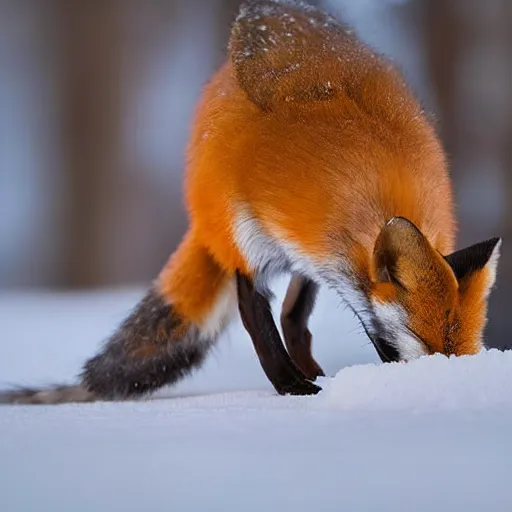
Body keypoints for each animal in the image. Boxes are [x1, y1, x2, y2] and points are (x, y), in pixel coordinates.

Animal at [0, 2, 502, 406]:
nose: (434, 384)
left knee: (292, 317)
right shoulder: (253, 243)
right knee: (267, 314)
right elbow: (257, 321)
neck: (364, 193)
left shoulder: (315, 256)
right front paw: (294, 389)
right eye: (421, 345)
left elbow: (291, 317)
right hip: (236, 232)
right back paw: (298, 380)